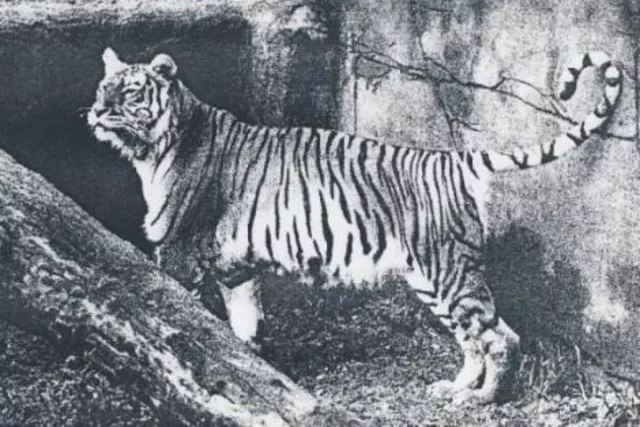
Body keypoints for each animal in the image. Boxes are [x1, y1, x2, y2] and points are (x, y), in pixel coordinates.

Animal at [87, 47, 622, 404]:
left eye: (129, 92)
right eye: (101, 88)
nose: (94, 111)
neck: (153, 148)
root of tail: (456, 157)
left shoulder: (177, 251)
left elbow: (173, 316)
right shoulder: (236, 267)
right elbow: (242, 325)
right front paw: (247, 367)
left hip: (448, 272)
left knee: (500, 337)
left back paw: (480, 400)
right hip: (430, 277)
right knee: (474, 337)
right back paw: (453, 386)